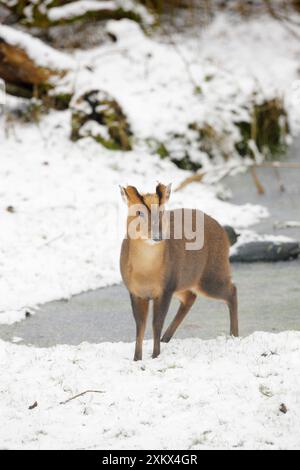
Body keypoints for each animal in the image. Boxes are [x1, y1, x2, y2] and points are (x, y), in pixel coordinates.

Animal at [119, 183, 239, 360]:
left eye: (162, 211)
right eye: (139, 212)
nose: (157, 235)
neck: (146, 273)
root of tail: (223, 232)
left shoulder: (166, 288)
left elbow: (156, 323)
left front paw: (155, 355)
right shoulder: (135, 292)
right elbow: (140, 325)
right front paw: (137, 358)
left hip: (211, 273)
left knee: (232, 290)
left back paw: (234, 334)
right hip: (185, 282)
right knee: (191, 297)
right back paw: (166, 338)